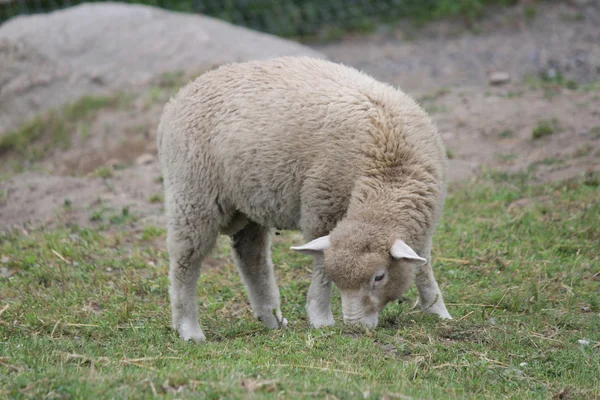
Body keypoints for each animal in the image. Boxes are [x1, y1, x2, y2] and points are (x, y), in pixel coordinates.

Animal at [157, 56, 452, 342]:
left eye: (380, 277)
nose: (355, 327)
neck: (389, 170)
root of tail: (181, 95)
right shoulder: (321, 206)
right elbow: (321, 267)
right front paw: (320, 318)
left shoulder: (421, 228)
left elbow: (423, 268)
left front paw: (438, 311)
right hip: (193, 194)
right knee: (185, 262)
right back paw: (188, 329)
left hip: (245, 203)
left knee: (251, 258)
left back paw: (272, 319)